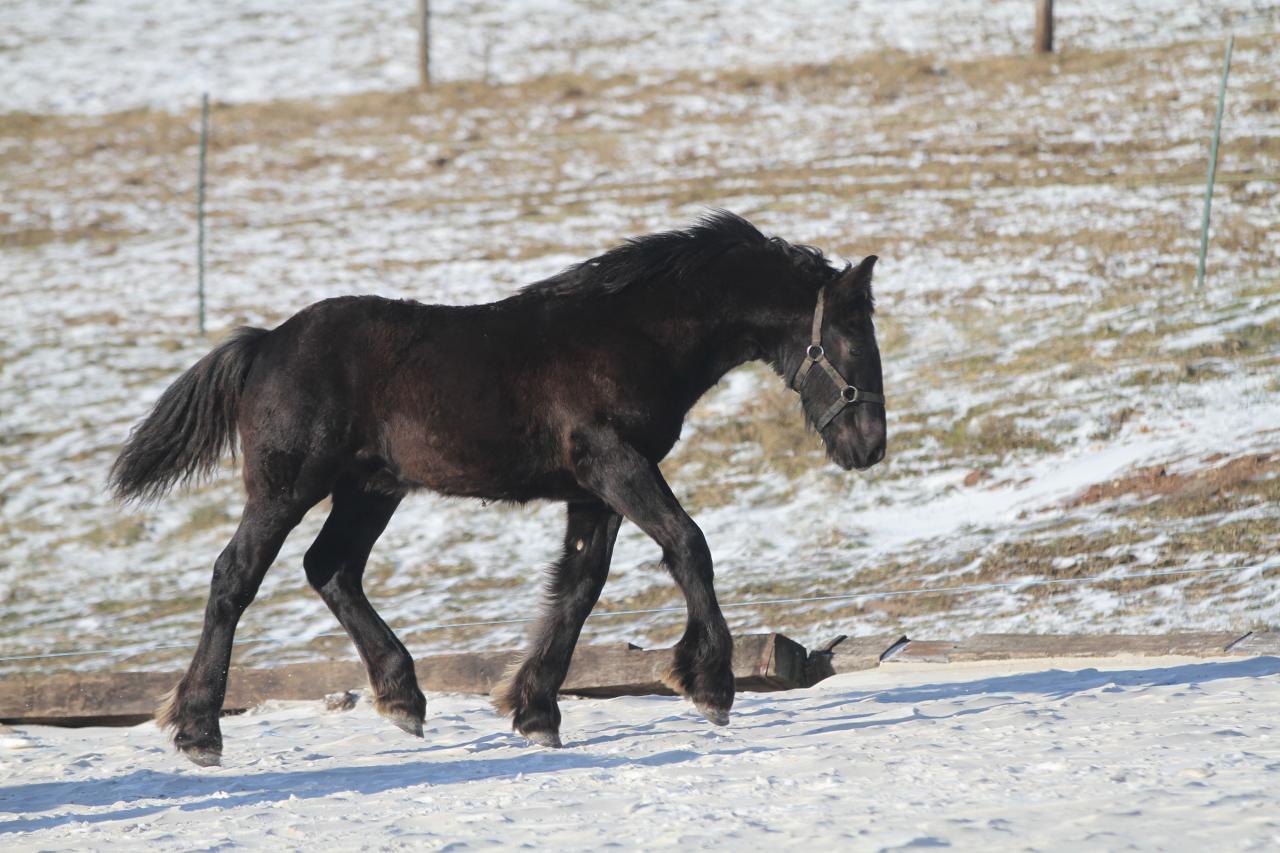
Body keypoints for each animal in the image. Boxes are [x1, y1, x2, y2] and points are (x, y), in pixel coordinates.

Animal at [112, 211, 880, 763]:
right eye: (850, 340)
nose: (869, 446)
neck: (634, 335)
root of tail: (265, 342)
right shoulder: (615, 464)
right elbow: (689, 545)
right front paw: (710, 685)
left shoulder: (593, 492)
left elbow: (578, 587)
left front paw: (536, 709)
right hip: (287, 485)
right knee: (235, 575)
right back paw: (199, 730)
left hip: (371, 488)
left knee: (330, 567)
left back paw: (402, 697)